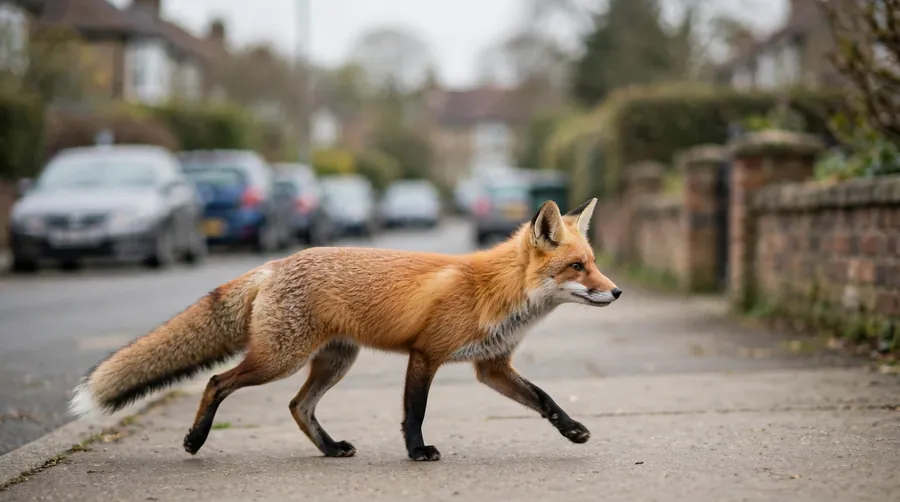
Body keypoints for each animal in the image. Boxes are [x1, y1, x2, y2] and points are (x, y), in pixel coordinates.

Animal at [68, 198, 621, 461]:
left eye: (594, 263)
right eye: (576, 267)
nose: (616, 292)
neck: (496, 290)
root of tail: (274, 263)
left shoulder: (491, 367)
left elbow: (545, 398)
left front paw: (572, 430)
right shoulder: (426, 354)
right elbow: (414, 412)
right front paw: (417, 453)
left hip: (334, 361)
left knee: (298, 406)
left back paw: (331, 449)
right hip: (279, 360)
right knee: (216, 382)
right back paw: (196, 439)